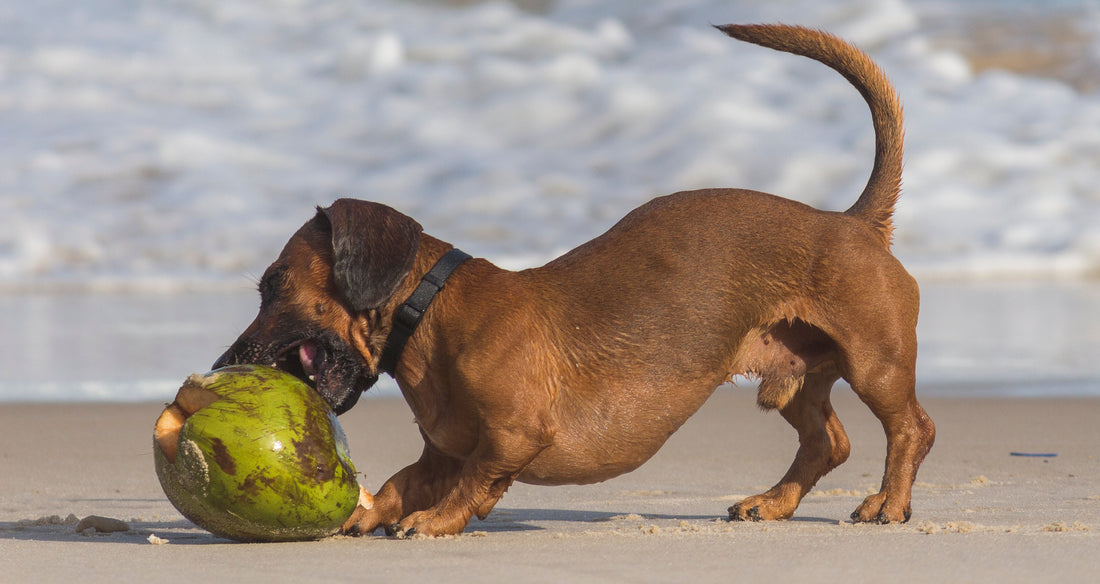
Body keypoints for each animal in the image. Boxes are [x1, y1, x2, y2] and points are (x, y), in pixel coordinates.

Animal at [214, 25, 937, 536]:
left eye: (274, 284)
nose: (223, 366)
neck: (434, 312)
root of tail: (852, 222)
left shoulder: (512, 438)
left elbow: (475, 482)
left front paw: (437, 521)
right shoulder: (441, 451)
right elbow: (401, 480)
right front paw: (369, 513)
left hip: (874, 363)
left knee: (913, 429)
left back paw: (888, 503)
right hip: (793, 380)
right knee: (828, 442)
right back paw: (775, 502)